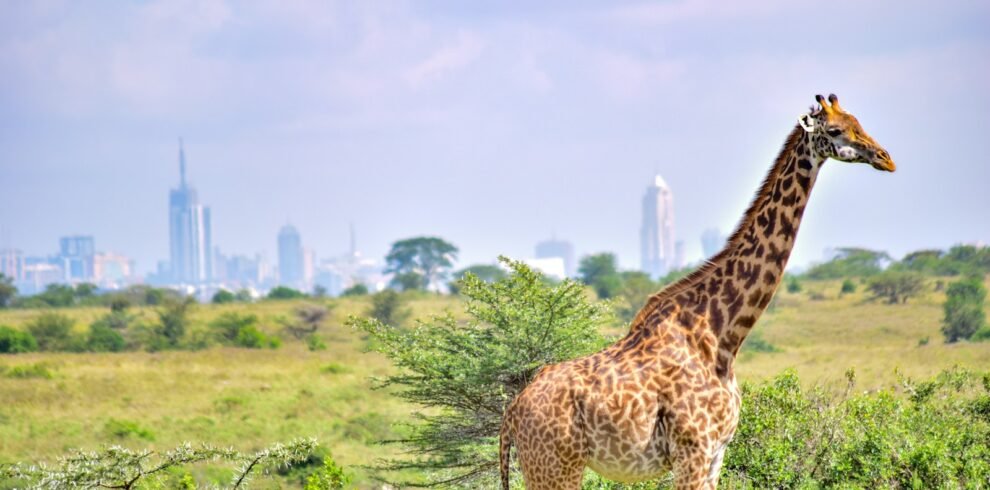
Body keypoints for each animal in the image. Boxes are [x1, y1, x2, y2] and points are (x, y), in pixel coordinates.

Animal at [499, 94, 895, 490]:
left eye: (858, 122)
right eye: (836, 130)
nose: (885, 158)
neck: (723, 333)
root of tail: (513, 412)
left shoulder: (717, 453)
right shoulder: (693, 449)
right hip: (556, 466)